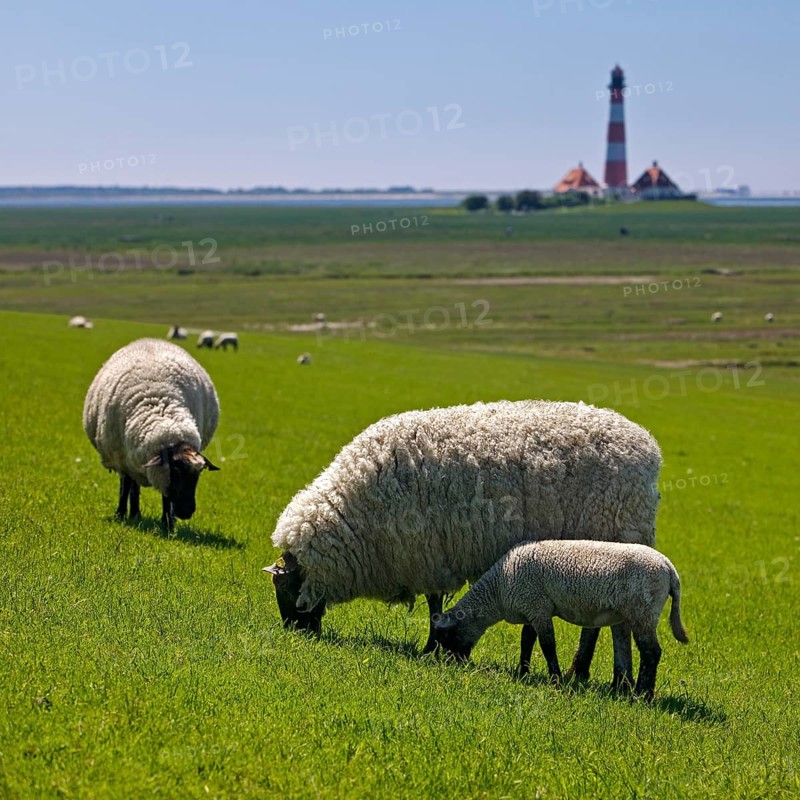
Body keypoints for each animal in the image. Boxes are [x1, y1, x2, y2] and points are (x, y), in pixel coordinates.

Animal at [82, 338, 220, 531]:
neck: (163, 413)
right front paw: (120, 514)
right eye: (176, 470)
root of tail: (150, 340)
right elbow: (125, 488)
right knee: (131, 485)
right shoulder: (123, 460)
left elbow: (166, 497)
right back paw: (133, 513)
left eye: (198, 474)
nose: (187, 512)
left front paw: (168, 524)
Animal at [264, 400, 661, 673]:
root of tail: (647, 446)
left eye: (285, 588)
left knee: (596, 626)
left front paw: (429, 648)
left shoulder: (427, 556)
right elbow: (436, 604)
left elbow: (434, 605)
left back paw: (581, 671)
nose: (296, 633)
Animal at [433, 540, 688, 699]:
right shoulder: (532, 609)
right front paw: (522, 673)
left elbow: (547, 645)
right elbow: (527, 641)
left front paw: (555, 680)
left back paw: (642, 696)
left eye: (448, 636)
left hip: (642, 611)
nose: (453, 664)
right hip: (639, 612)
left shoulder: (538, 607)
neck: (498, 590)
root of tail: (670, 570)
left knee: (651, 652)